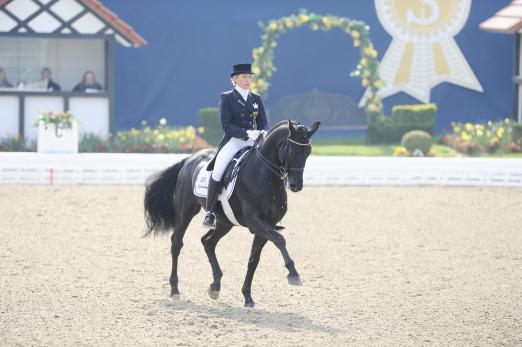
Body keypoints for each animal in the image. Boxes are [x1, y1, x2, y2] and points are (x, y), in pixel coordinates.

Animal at [144, 119, 318, 308]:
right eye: (293, 151)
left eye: (308, 152)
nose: (296, 185)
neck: (263, 175)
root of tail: (190, 158)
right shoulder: (255, 223)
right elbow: (280, 240)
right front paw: (293, 274)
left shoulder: (266, 226)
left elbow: (253, 260)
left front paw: (247, 297)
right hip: (186, 212)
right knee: (177, 243)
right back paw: (175, 288)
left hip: (224, 222)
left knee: (208, 242)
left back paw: (215, 286)